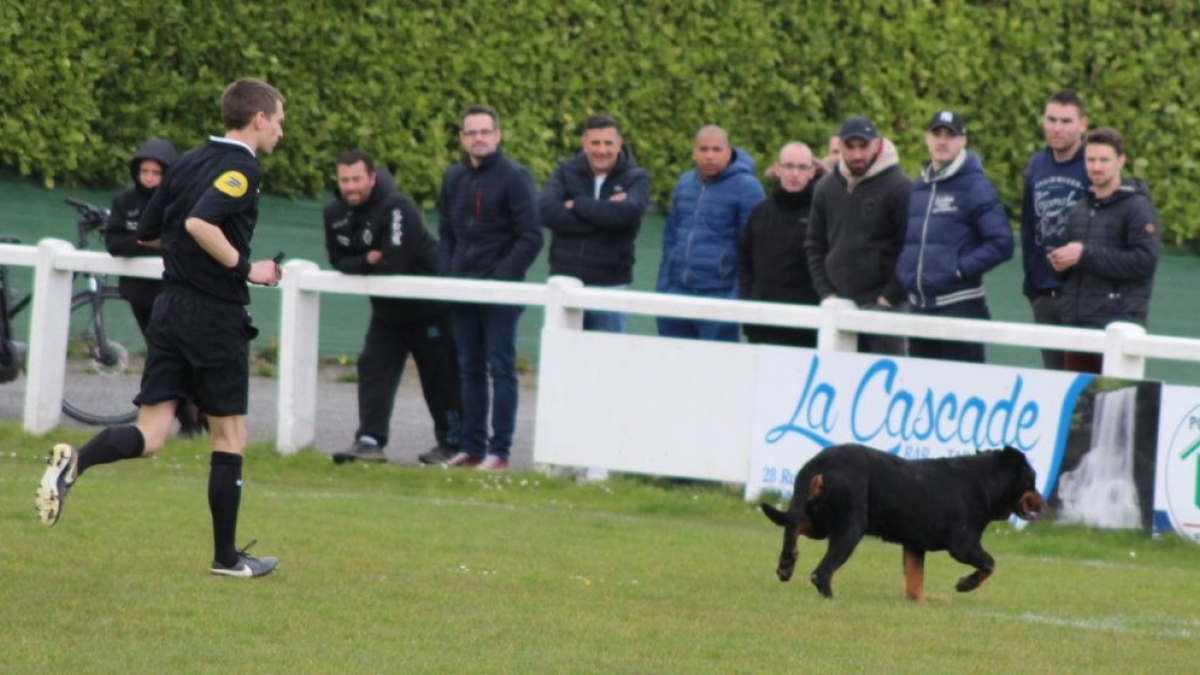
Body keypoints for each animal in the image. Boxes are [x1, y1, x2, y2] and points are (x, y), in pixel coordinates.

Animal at [763, 441, 1046, 598]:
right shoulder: (963, 545)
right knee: (820, 573)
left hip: (820, 520)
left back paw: (786, 564)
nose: (1044, 505)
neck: (986, 484)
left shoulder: (914, 546)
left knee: (794, 524)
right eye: (1032, 481)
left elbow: (915, 586)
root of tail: (819, 463)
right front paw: (966, 585)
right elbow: (990, 563)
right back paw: (828, 594)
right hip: (850, 528)